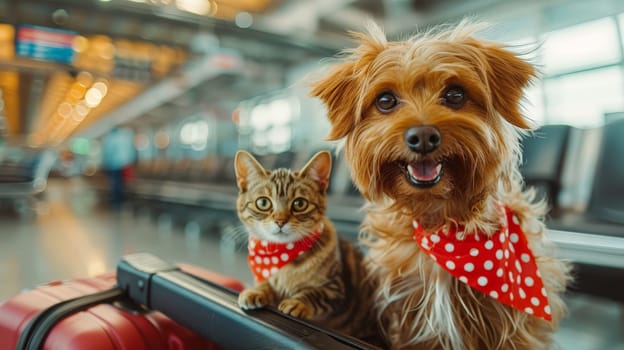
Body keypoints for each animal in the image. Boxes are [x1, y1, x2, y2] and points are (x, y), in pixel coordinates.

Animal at [233, 149, 380, 344]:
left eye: (299, 204)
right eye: (263, 203)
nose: (280, 221)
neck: (284, 256)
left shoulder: (335, 289)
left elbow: (314, 294)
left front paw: (297, 302)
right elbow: (265, 283)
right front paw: (256, 291)